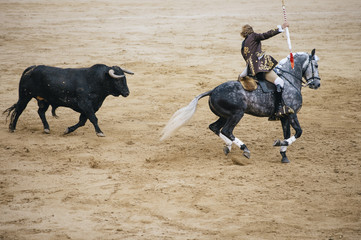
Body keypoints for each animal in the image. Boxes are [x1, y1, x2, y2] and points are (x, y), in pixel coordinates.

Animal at [3, 63, 133, 137]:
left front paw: (67, 130)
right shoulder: (85, 105)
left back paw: (46, 128)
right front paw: (99, 132)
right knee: (19, 110)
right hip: (24, 96)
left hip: (44, 100)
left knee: (40, 112)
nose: (127, 93)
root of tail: (31, 68)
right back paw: (12, 128)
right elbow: (93, 119)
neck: (95, 81)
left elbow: (82, 122)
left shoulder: (89, 108)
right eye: (118, 80)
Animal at [162, 49, 320, 163]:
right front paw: (279, 145)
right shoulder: (292, 114)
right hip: (237, 114)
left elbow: (287, 134)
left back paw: (228, 147)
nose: (317, 84)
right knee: (227, 130)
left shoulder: (284, 116)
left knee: (215, 127)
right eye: (316, 65)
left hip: (225, 116)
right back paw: (244, 149)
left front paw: (283, 154)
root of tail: (213, 90)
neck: (289, 80)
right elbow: (298, 132)